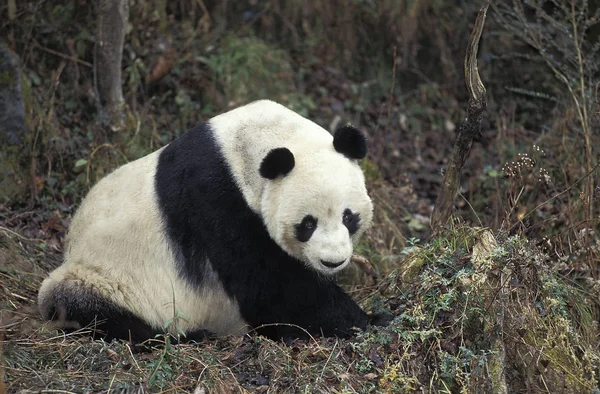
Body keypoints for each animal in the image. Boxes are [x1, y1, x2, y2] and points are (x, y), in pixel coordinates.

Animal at [39, 99, 380, 342]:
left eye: (348, 217)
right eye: (307, 224)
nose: (333, 262)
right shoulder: (216, 201)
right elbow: (273, 289)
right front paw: (368, 321)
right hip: (105, 275)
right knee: (87, 309)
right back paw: (186, 337)